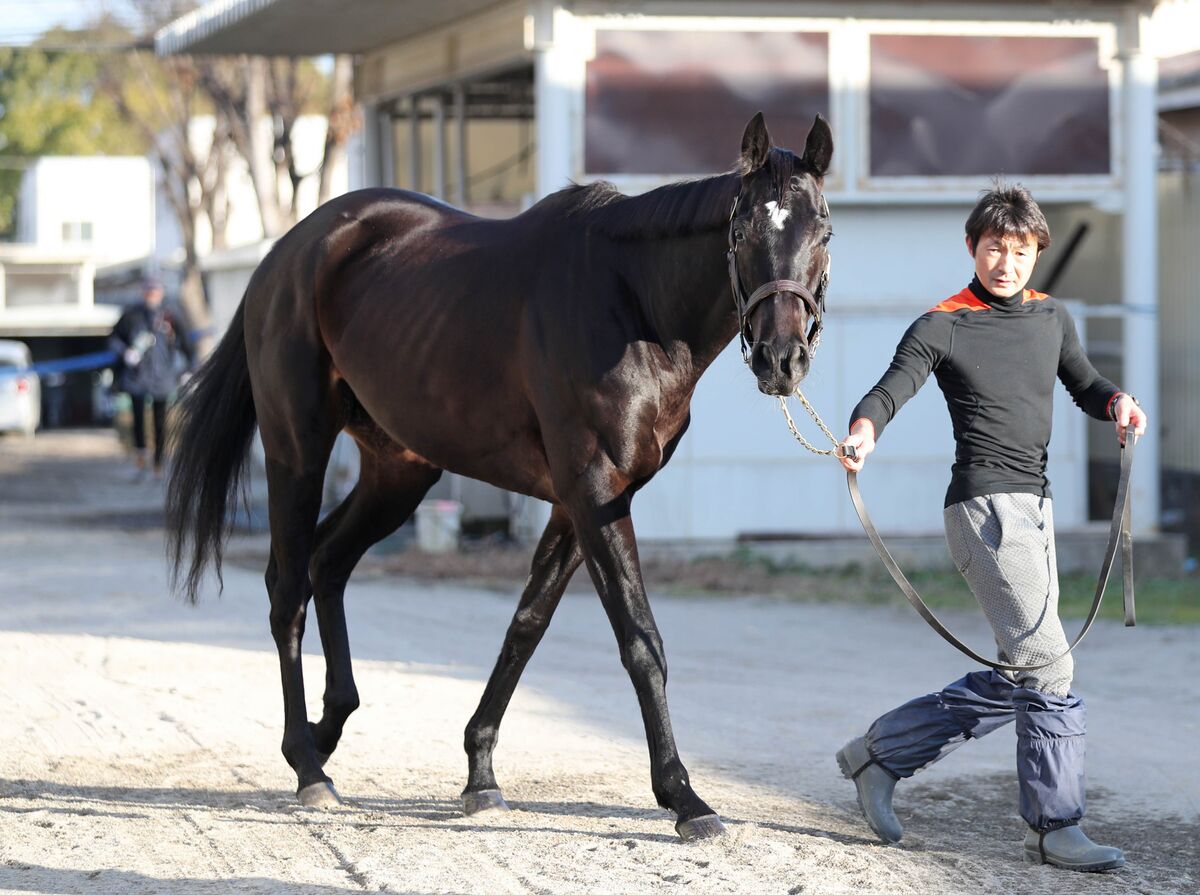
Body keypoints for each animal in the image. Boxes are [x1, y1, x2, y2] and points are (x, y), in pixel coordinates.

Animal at [166, 109, 835, 835]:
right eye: (741, 232)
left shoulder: (580, 503)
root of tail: (287, 252)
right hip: (297, 449)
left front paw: (480, 772)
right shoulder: (595, 491)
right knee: (288, 590)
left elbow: (527, 625)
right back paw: (309, 768)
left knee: (328, 563)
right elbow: (640, 640)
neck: (630, 302)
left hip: (399, 471)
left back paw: (326, 728)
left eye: (823, 232)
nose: (781, 359)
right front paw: (684, 797)